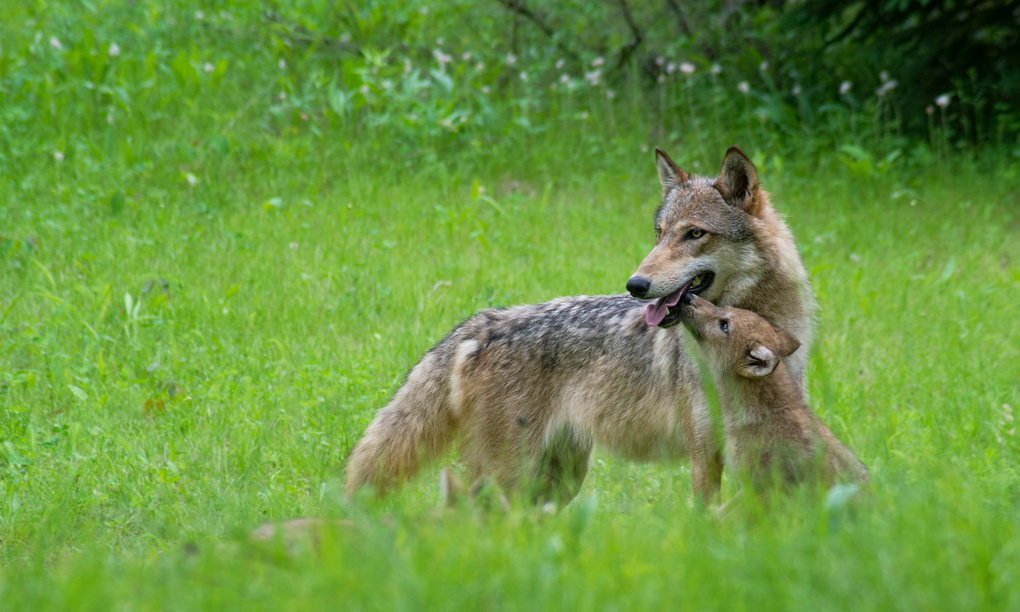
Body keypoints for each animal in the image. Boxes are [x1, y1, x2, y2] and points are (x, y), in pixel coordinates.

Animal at [346, 145, 816, 503]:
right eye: (660, 233)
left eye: (695, 234)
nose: (635, 284)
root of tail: (484, 322)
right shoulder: (705, 451)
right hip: (513, 476)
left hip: (558, 481)